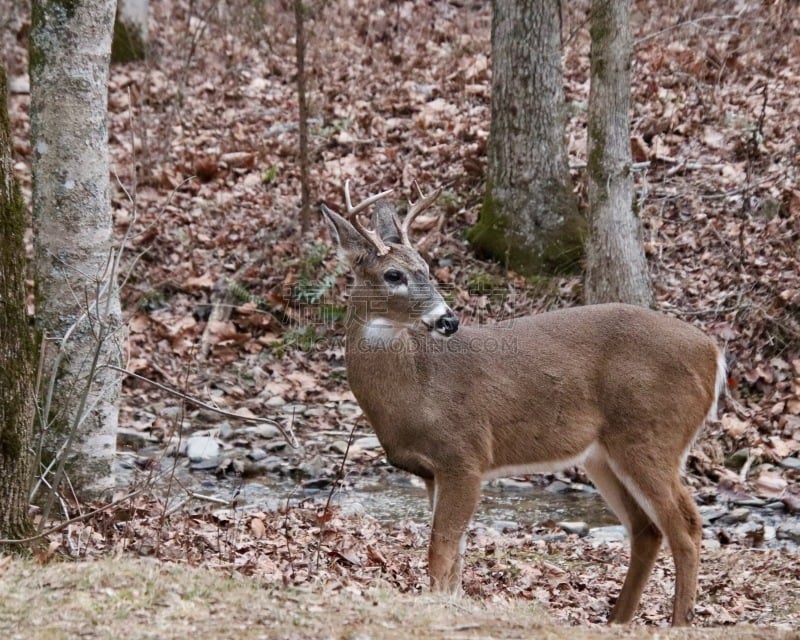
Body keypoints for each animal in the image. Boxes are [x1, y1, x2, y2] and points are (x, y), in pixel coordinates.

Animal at [318, 180, 724, 624]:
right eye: (394, 274)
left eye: (425, 267)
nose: (448, 320)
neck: (417, 389)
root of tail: (713, 353)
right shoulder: (432, 472)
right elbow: (454, 555)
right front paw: (452, 603)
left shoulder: (466, 455)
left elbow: (441, 550)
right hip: (603, 455)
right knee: (646, 529)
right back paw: (619, 620)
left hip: (652, 435)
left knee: (685, 524)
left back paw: (678, 622)